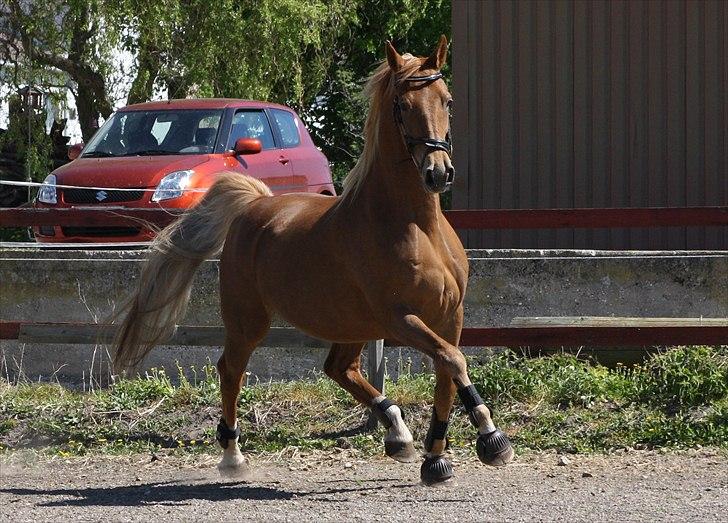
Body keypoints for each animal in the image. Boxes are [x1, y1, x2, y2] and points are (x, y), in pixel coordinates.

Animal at [115, 36, 512, 486]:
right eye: (402, 104)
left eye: (447, 100)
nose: (438, 173)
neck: (416, 226)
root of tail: (254, 203)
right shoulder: (400, 318)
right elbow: (453, 360)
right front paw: (492, 438)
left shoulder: (450, 314)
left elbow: (447, 372)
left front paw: (436, 458)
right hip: (249, 321)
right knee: (231, 370)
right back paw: (234, 456)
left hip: (353, 323)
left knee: (339, 368)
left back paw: (397, 434)